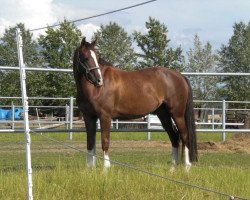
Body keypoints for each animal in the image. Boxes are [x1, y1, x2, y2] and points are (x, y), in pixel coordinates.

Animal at [72, 37, 197, 170]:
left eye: (97, 56)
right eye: (86, 57)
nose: (99, 80)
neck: (94, 90)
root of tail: (180, 76)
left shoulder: (105, 116)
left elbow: (105, 141)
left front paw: (106, 168)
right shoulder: (89, 117)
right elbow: (90, 143)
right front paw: (90, 168)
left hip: (177, 114)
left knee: (184, 135)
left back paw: (187, 166)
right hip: (164, 115)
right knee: (174, 136)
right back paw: (172, 168)